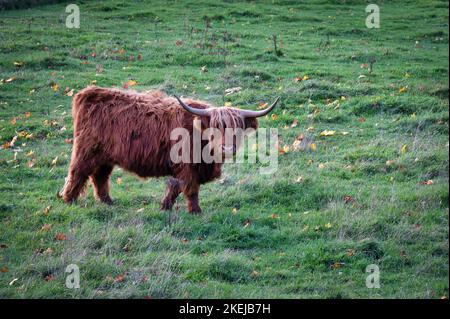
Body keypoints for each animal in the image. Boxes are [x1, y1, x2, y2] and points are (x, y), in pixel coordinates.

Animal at [59, 86, 278, 214]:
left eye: (238, 127)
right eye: (215, 128)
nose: (228, 147)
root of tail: (89, 92)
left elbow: (175, 186)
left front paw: (165, 206)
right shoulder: (188, 166)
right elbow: (190, 189)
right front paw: (196, 211)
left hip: (106, 156)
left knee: (100, 177)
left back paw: (108, 202)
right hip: (86, 150)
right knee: (78, 173)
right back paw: (68, 200)